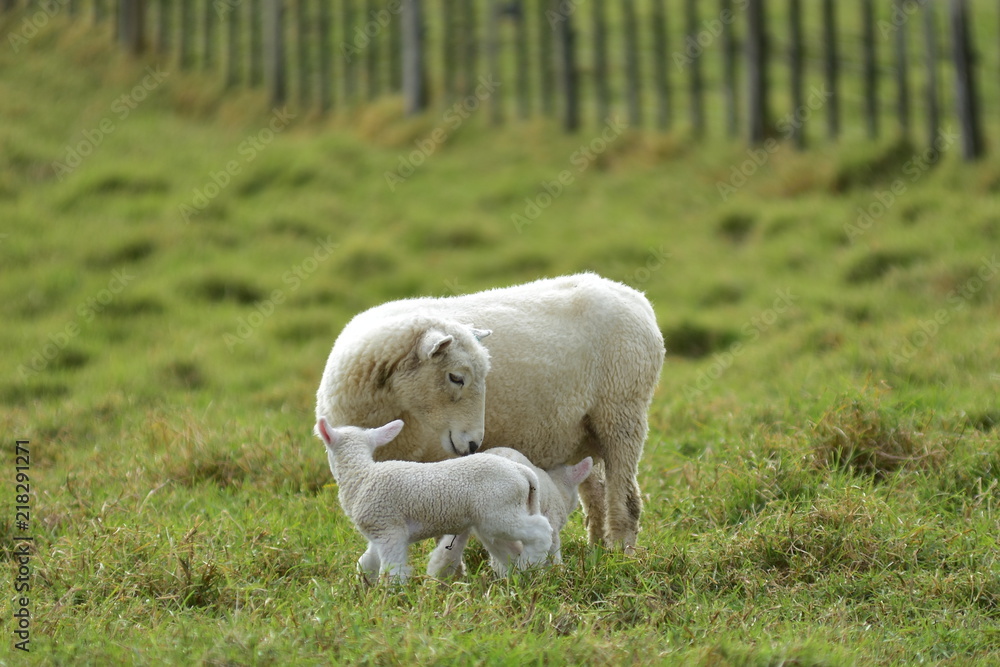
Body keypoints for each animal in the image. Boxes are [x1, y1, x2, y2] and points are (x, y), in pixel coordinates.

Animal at [316, 272, 665, 555]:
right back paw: (596, 550)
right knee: (596, 493)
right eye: (456, 378)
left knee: (625, 496)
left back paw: (620, 552)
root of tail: (636, 298)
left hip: (622, 409)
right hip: (583, 431)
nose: (473, 444)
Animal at [317, 418, 553, 582]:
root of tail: (522, 472)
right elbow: (365, 563)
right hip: (495, 520)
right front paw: (364, 587)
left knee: (541, 530)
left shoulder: (390, 529)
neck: (362, 476)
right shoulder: (378, 531)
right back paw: (519, 575)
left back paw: (530, 564)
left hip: (500, 513)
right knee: (511, 550)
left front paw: (392, 597)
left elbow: (393, 570)